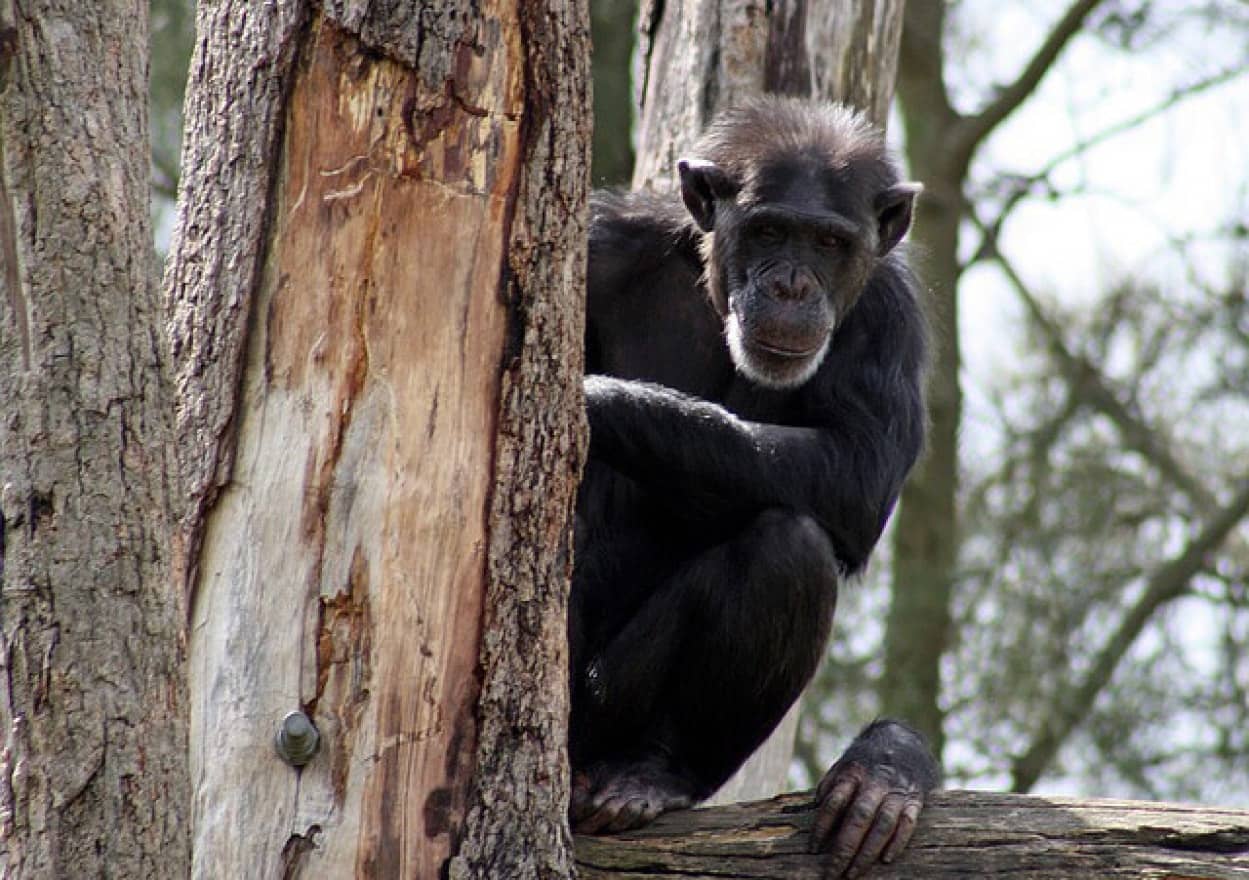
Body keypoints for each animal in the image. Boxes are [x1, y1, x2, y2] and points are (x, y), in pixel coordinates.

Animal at [567, 97, 939, 878]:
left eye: (828, 242)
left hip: (616, 712)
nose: (791, 284)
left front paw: (592, 400)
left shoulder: (890, 316)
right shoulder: (593, 245)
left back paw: (651, 775)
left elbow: (857, 470)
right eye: (768, 230)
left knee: (788, 546)